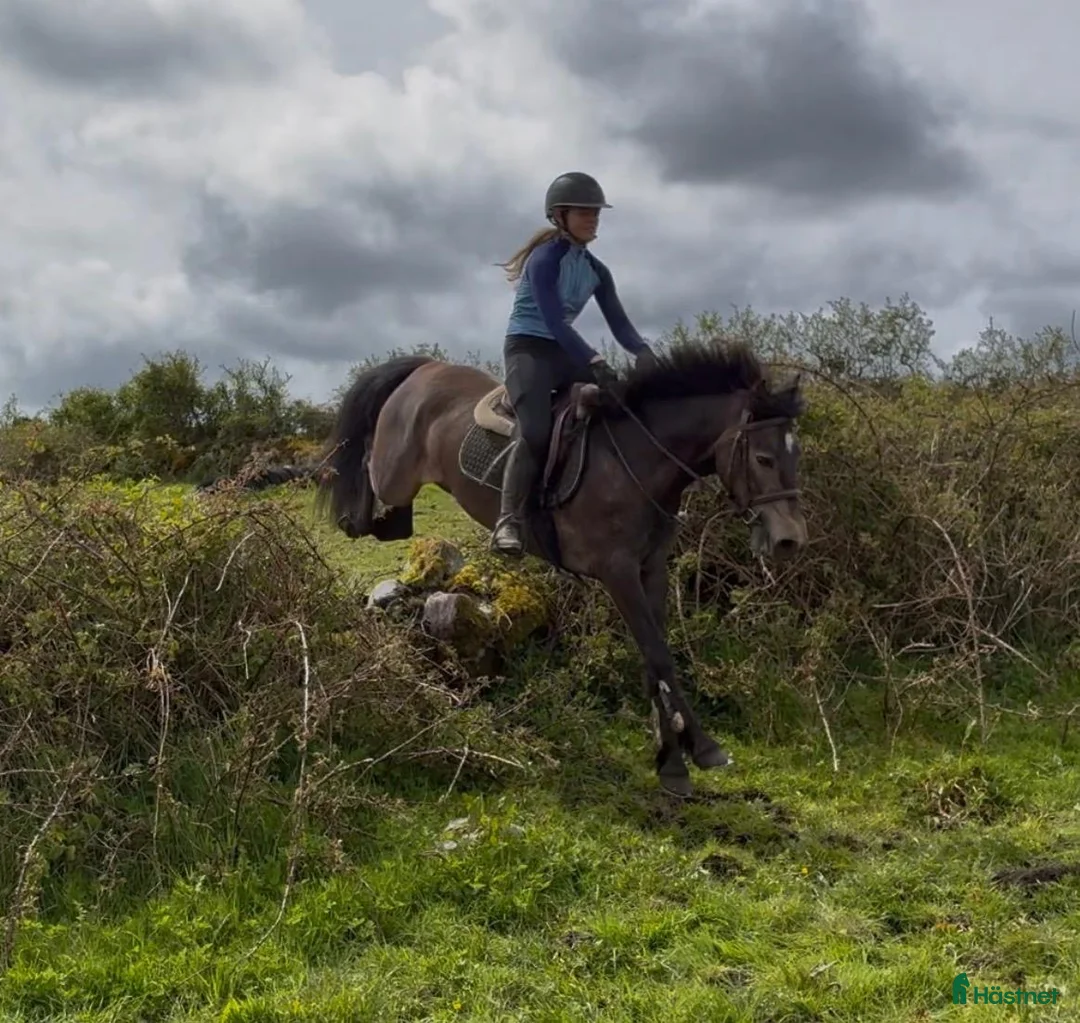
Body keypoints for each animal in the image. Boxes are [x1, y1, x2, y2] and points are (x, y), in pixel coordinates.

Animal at [316, 338, 808, 796]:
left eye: (794, 455)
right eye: (764, 458)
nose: (790, 540)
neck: (638, 461)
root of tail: (425, 368)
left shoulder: (651, 570)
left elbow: (654, 661)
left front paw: (671, 761)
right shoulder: (617, 572)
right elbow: (659, 656)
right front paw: (704, 749)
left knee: (388, 524)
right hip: (394, 475)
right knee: (365, 480)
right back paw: (347, 500)